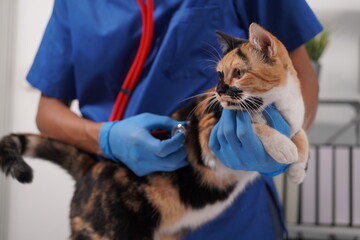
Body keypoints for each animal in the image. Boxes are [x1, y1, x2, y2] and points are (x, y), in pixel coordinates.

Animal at [0, 23, 310, 240]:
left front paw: (297, 168)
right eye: (219, 74)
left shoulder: (295, 119)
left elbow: (302, 136)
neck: (277, 105)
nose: (219, 91)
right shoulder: (209, 133)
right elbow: (258, 127)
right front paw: (284, 148)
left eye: (238, 73)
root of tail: (93, 168)